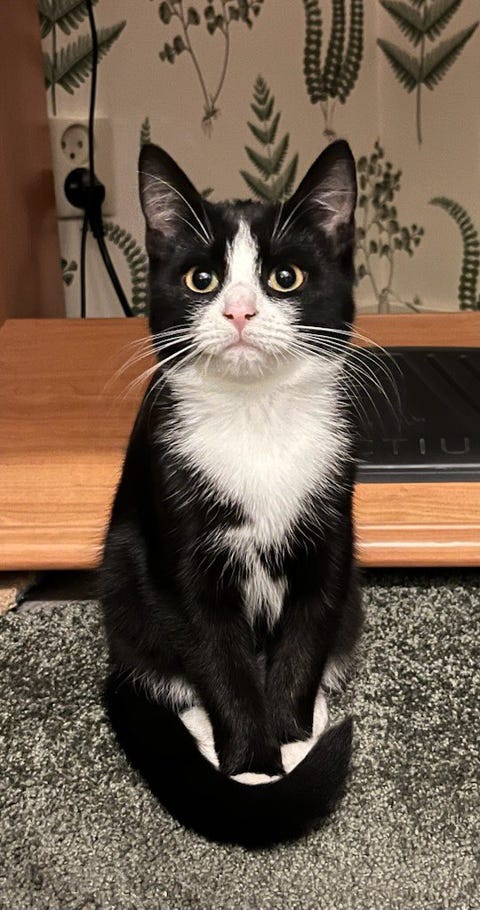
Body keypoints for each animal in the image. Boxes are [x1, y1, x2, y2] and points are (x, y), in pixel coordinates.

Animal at [100, 138, 364, 847]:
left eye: (285, 278)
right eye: (202, 280)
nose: (239, 311)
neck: (256, 421)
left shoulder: (331, 527)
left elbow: (308, 625)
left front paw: (293, 740)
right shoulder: (180, 544)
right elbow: (214, 650)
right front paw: (250, 768)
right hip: (125, 577)